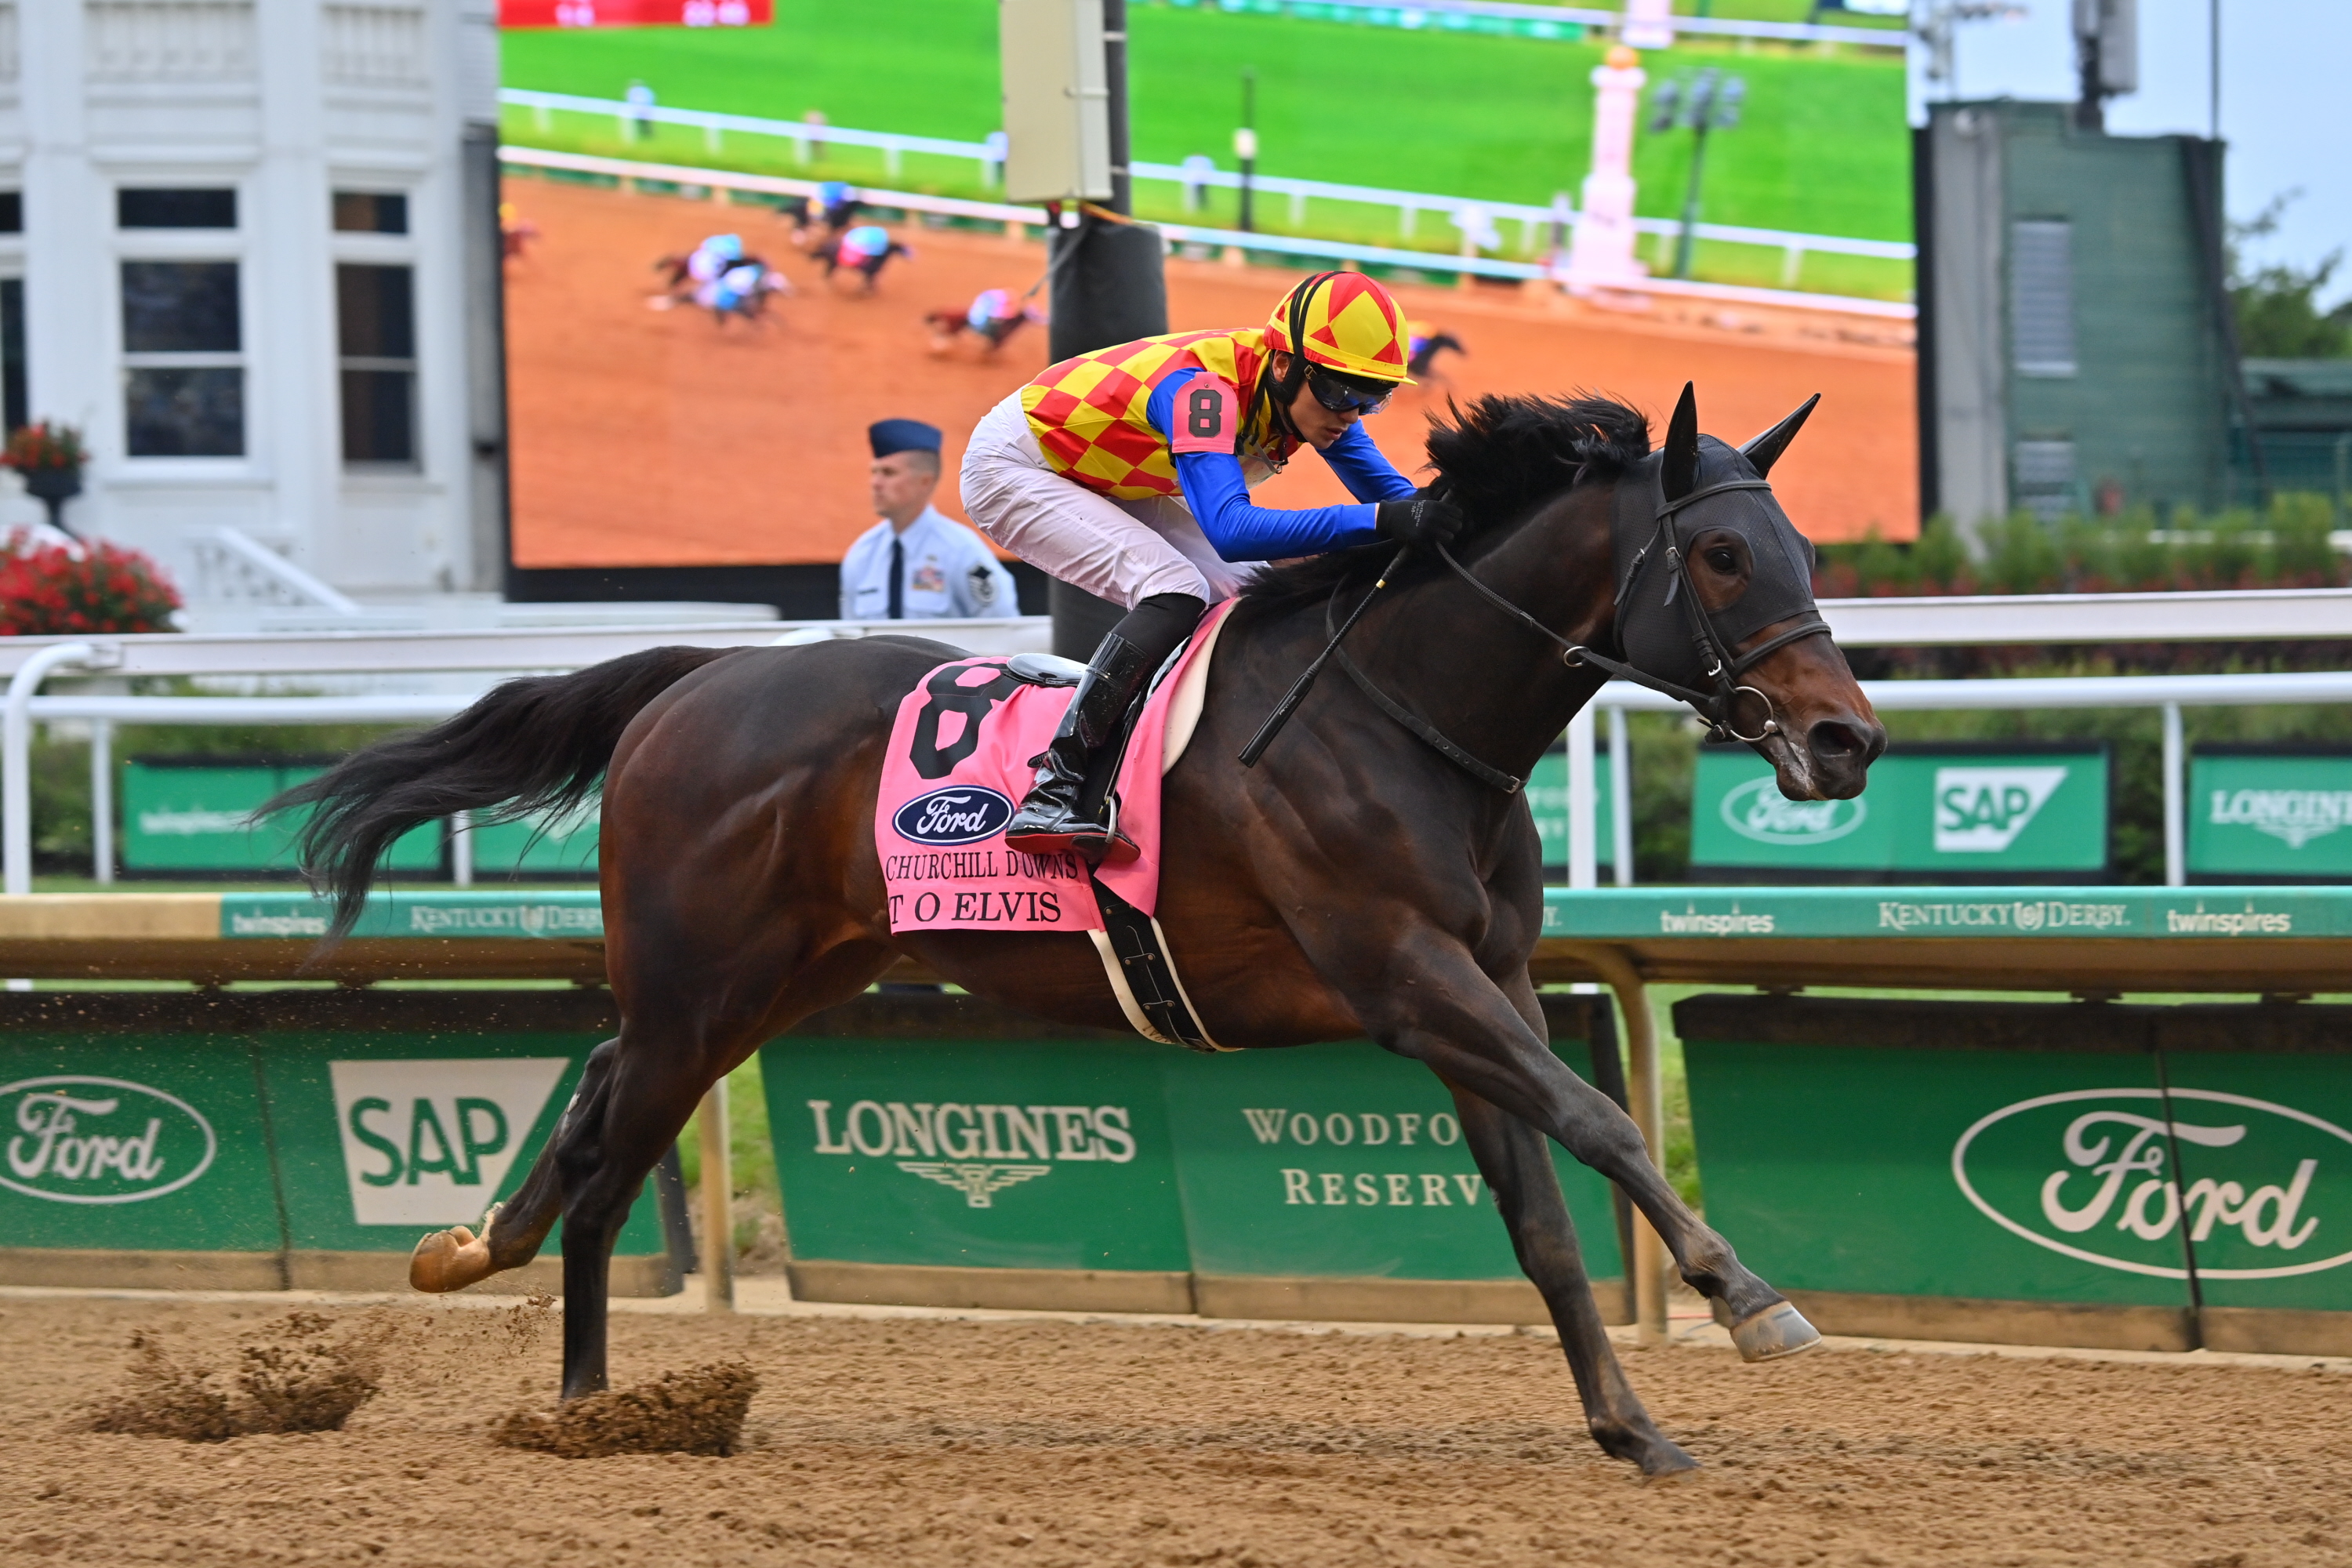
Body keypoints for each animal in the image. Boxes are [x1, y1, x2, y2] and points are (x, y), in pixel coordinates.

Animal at [272, 383, 1884, 1476]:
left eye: (1804, 546)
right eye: (1724, 558)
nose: (1847, 740)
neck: (1407, 714)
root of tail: (691, 682)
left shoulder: (1480, 992)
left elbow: (1548, 1217)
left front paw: (1632, 1428)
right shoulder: (1410, 978)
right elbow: (1603, 1128)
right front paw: (1752, 1299)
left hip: (776, 979)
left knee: (604, 1098)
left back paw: (492, 1268)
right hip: (698, 983)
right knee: (614, 1163)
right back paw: (583, 1405)